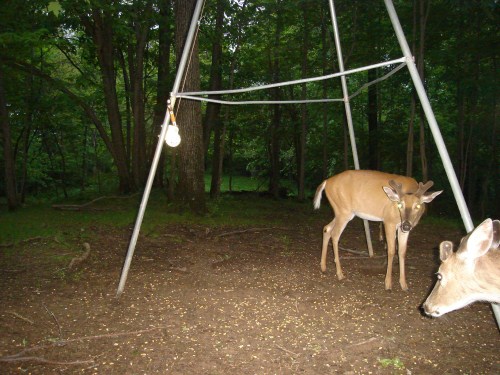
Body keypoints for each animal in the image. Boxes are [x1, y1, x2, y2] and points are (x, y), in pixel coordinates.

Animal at [314, 170, 444, 290]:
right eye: (399, 204)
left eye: (417, 206)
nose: (407, 225)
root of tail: (327, 181)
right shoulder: (389, 221)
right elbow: (391, 251)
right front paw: (388, 284)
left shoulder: (402, 227)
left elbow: (402, 252)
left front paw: (404, 284)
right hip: (344, 210)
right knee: (335, 235)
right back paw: (340, 274)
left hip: (341, 211)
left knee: (326, 228)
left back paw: (323, 267)